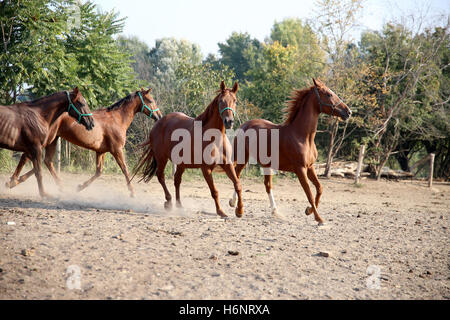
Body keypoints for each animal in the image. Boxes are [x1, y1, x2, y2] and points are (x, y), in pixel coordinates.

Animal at [134, 81, 243, 219]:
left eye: (235, 101)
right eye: (221, 101)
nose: (229, 122)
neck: (214, 139)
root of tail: (159, 122)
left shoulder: (228, 165)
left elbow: (238, 185)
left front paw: (239, 211)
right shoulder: (206, 169)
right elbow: (214, 191)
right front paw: (221, 212)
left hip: (181, 164)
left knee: (177, 180)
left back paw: (179, 205)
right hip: (162, 158)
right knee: (161, 176)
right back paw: (169, 202)